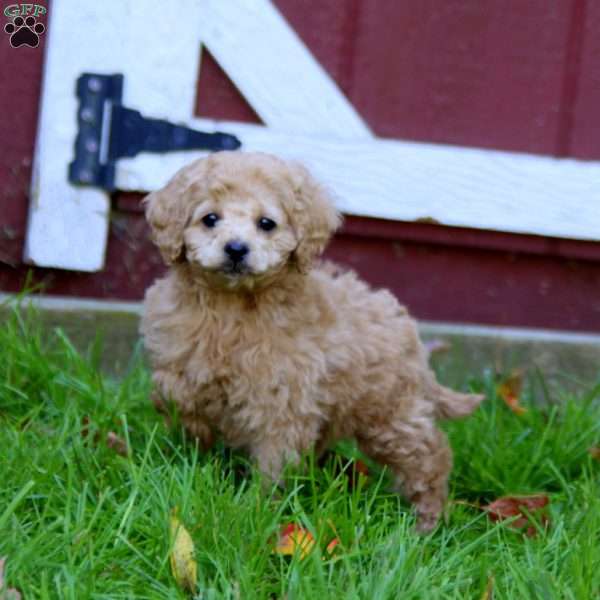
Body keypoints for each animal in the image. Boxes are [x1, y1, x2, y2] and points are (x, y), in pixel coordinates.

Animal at [141, 152, 482, 532]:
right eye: (210, 219)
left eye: (266, 223)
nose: (236, 249)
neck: (234, 306)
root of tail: (410, 334)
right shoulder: (179, 363)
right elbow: (179, 400)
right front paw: (190, 452)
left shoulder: (282, 403)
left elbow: (274, 458)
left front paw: (258, 508)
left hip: (390, 414)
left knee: (429, 454)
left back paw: (427, 521)